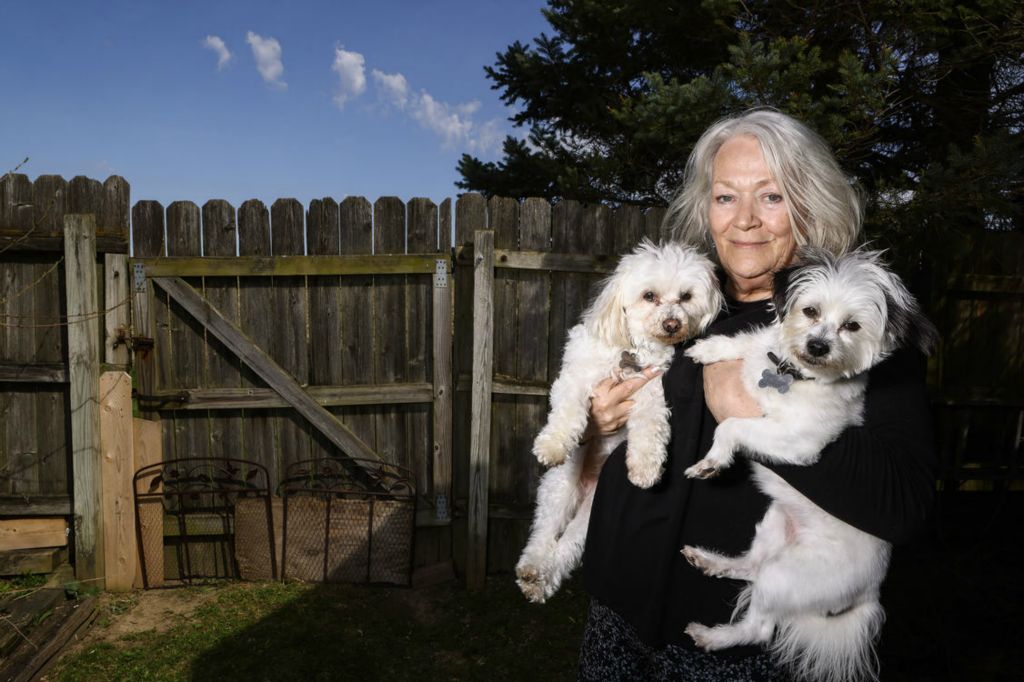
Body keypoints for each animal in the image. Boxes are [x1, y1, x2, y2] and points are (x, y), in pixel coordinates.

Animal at [512, 240, 720, 602]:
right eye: (649, 295)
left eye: (685, 296)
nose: (672, 324)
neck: (632, 351)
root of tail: (586, 489)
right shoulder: (577, 378)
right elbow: (568, 412)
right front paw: (552, 444)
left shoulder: (651, 394)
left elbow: (651, 429)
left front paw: (646, 468)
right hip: (559, 489)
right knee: (543, 534)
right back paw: (532, 569)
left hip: (588, 520)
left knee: (565, 548)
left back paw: (542, 579)